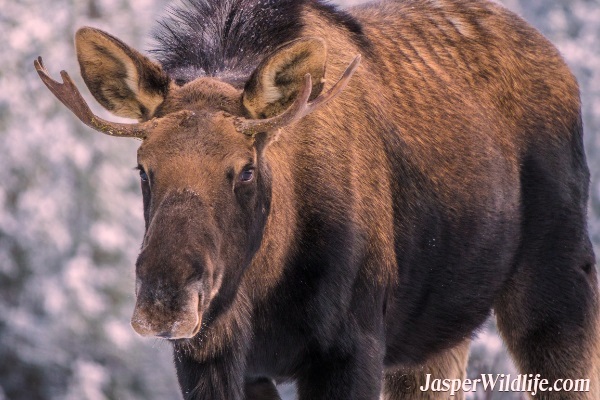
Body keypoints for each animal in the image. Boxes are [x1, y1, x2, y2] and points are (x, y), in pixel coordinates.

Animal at [36, 0, 600, 396]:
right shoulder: (210, 359)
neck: (262, 293)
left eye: (246, 170)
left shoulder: (350, 348)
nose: (165, 298)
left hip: (557, 281)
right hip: (435, 336)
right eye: (143, 167)